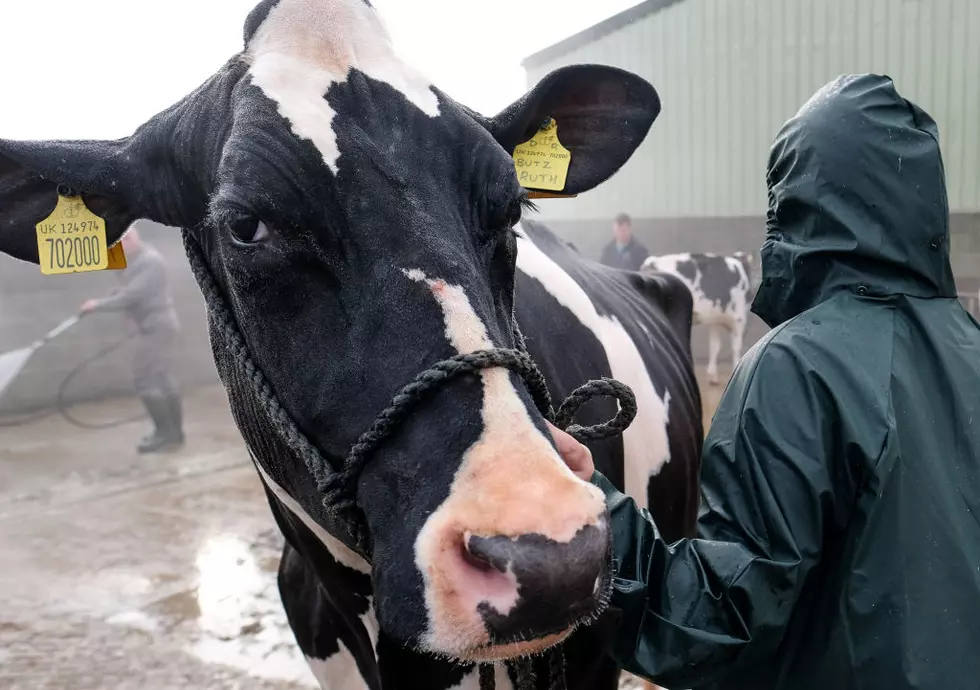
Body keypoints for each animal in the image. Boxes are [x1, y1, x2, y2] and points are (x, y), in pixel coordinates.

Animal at [640, 250, 756, 384]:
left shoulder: (715, 320)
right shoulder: (738, 318)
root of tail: (653, 262)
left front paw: (712, 376)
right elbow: (736, 347)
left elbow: (715, 346)